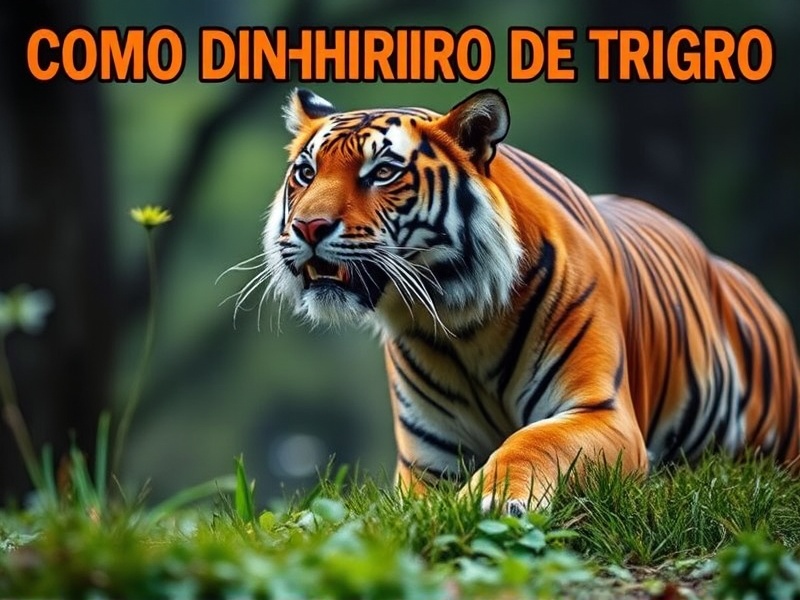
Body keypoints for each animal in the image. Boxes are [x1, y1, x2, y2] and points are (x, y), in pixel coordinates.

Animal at [260, 88, 800, 514]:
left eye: (384, 172)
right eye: (306, 172)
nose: (308, 227)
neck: (459, 324)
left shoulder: (601, 411)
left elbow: (533, 439)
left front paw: (491, 500)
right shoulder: (425, 462)